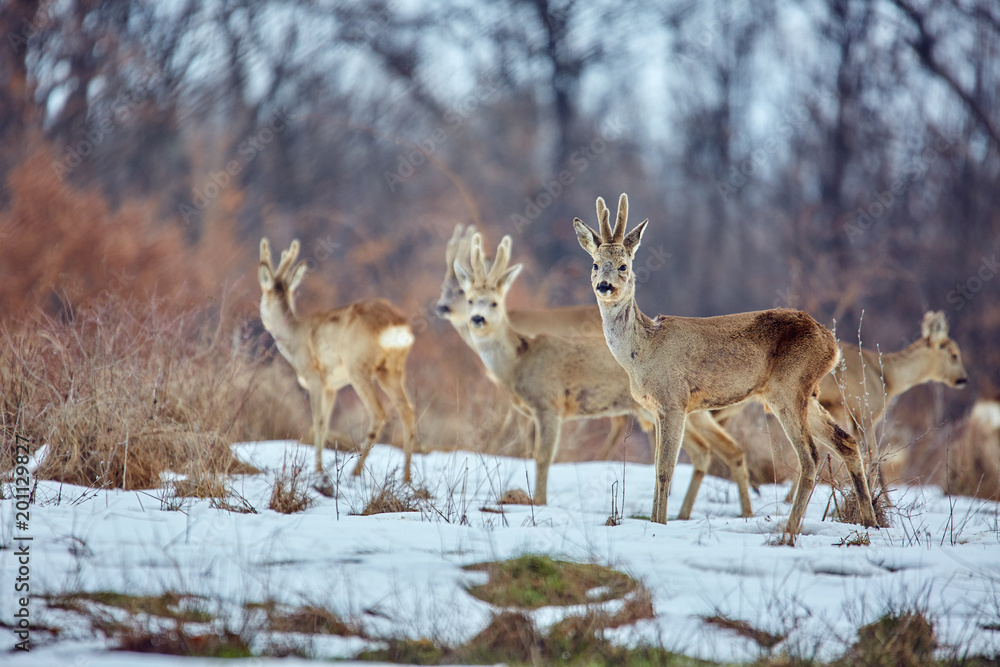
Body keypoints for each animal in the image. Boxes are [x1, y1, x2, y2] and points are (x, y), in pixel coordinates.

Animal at [258, 238, 417, 482]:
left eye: (262, 296)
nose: (263, 321)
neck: (294, 337)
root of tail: (397, 324)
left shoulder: (314, 377)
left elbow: (318, 422)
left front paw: (317, 469)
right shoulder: (331, 386)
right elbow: (324, 425)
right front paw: (319, 467)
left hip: (358, 367)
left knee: (379, 412)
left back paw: (356, 471)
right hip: (392, 370)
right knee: (407, 410)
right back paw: (406, 477)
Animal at [454, 232, 753, 517]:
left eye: (494, 303)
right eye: (469, 300)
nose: (477, 319)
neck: (519, 361)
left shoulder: (549, 404)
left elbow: (542, 456)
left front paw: (538, 502)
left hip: (679, 409)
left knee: (717, 449)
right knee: (716, 451)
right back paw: (689, 514)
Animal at [573, 194, 877, 538]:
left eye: (624, 265)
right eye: (595, 264)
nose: (604, 286)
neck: (643, 351)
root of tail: (831, 344)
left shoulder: (674, 401)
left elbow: (665, 470)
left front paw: (659, 525)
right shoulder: (657, 409)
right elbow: (658, 469)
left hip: (788, 387)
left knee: (810, 456)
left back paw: (789, 530)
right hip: (804, 393)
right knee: (847, 442)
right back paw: (869, 523)